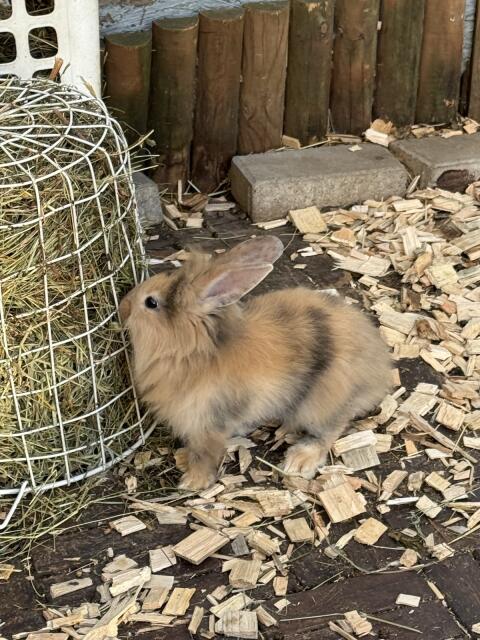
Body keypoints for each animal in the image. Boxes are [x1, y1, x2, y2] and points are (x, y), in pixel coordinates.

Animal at [119, 236, 392, 491]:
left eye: (151, 303)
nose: (123, 306)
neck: (194, 352)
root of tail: (379, 373)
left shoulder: (207, 424)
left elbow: (205, 455)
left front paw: (192, 482)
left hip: (321, 402)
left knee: (330, 431)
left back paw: (300, 460)